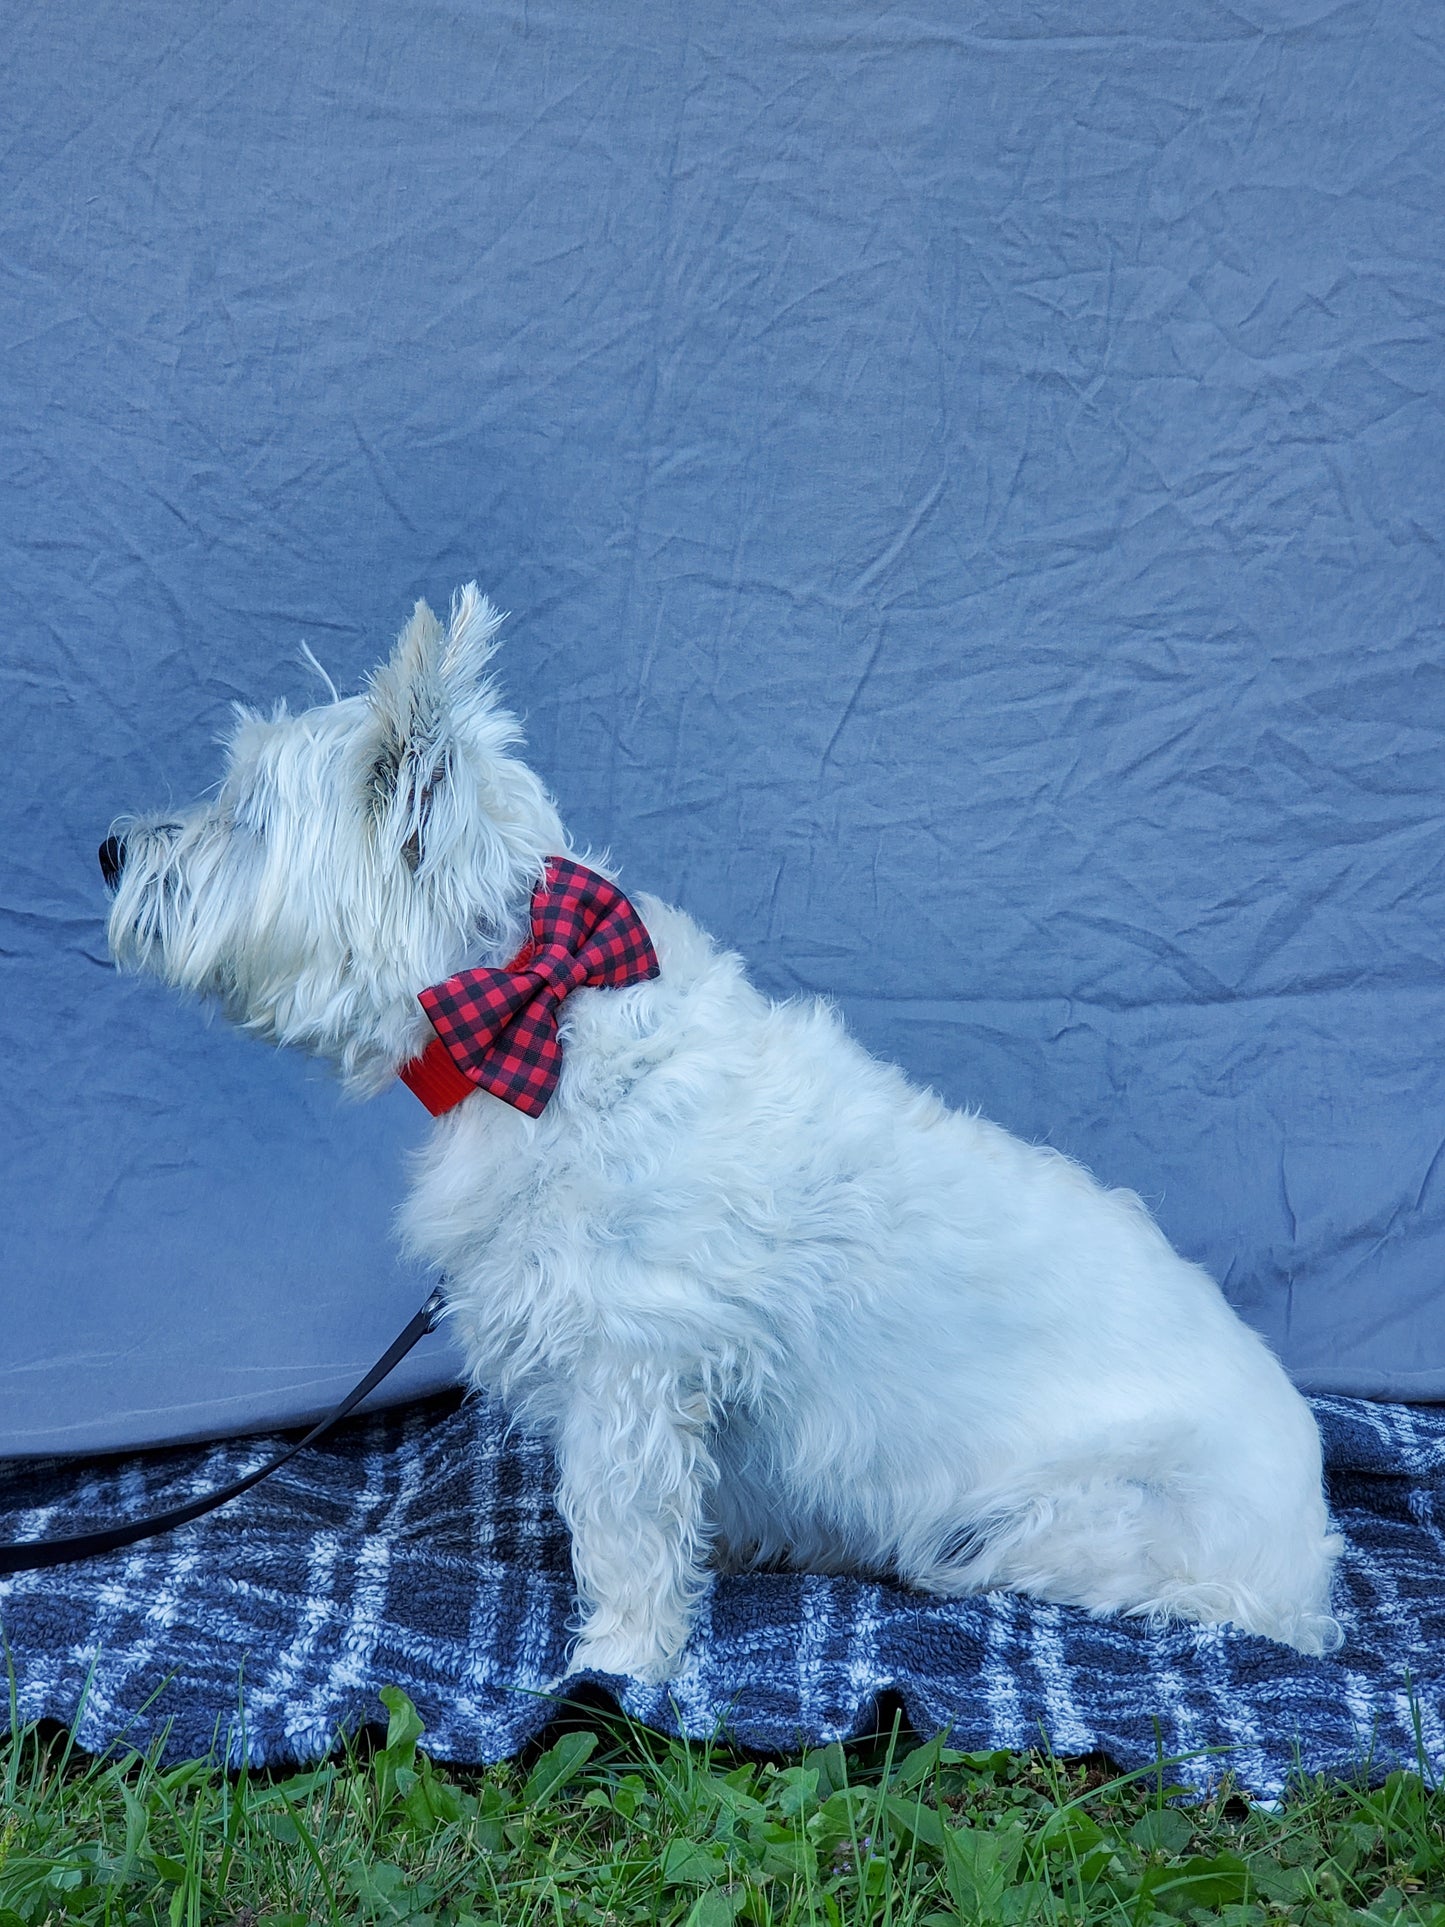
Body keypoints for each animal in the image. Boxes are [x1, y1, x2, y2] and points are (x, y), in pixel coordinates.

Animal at [104, 581, 1348, 1672]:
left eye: (246, 815)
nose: (112, 849)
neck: (533, 1022)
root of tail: (1310, 1542)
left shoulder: (626, 1362)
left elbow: (622, 1531)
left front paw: (616, 1664)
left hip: (1068, 1521)